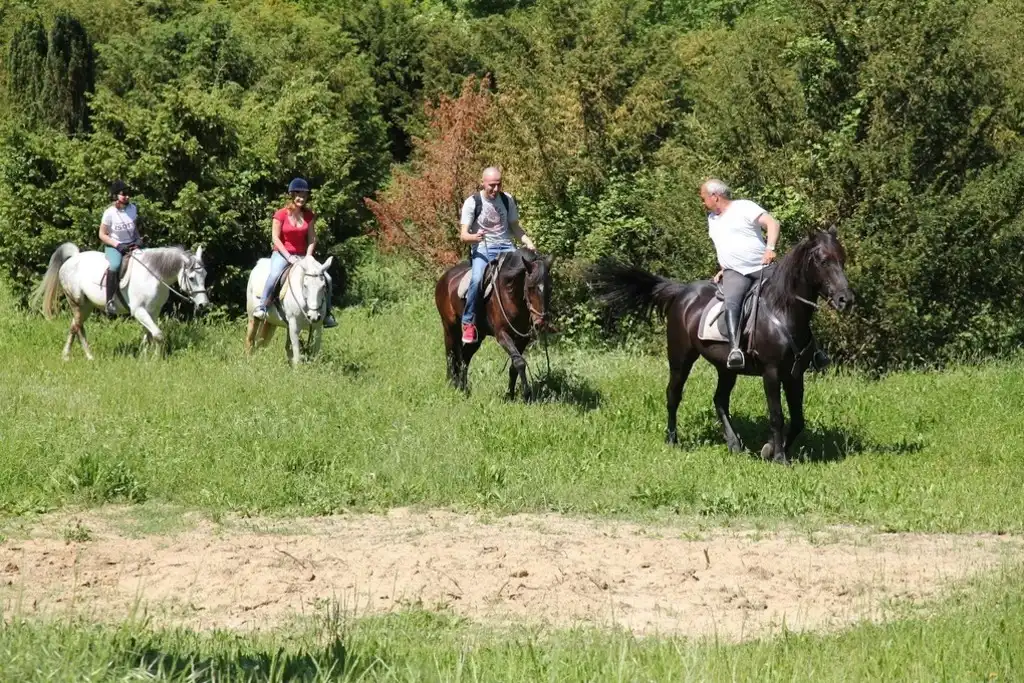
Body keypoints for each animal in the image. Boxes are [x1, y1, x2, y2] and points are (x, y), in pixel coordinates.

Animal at [34, 242, 209, 360]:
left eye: (205, 275)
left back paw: (77, 355)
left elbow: (149, 335)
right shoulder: (139, 311)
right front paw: (156, 359)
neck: (153, 275)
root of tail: (73, 258)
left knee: (75, 326)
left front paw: (144, 358)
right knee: (77, 327)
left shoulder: (153, 311)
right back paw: (78, 356)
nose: (203, 304)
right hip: (76, 303)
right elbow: (158, 334)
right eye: (191, 278)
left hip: (86, 306)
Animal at [585, 228, 856, 464]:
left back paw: (734, 443)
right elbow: (777, 416)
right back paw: (673, 439)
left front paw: (770, 449)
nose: (846, 299)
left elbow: (798, 419)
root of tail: (681, 292)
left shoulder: (795, 374)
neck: (783, 312)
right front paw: (779, 457)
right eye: (823, 260)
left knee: (720, 400)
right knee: (673, 395)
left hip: (726, 368)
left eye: (842, 259)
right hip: (680, 358)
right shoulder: (771, 373)